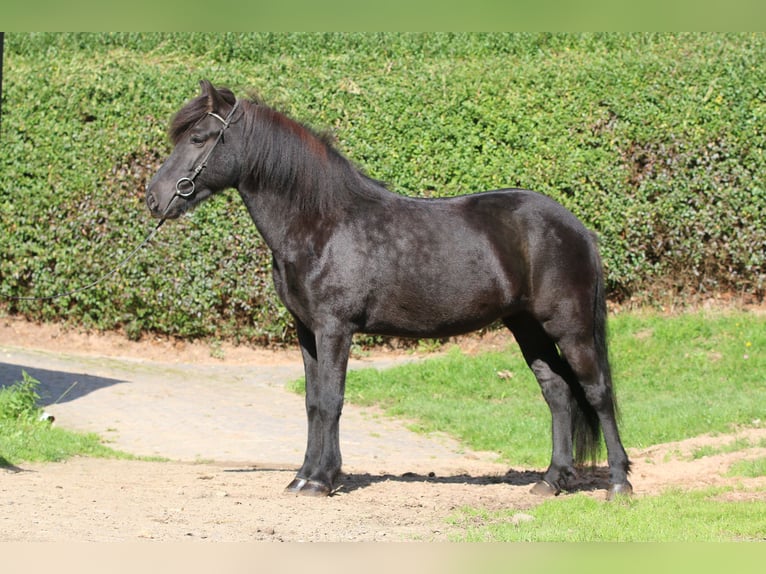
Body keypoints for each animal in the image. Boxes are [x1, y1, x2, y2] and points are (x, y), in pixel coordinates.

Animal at [146, 80, 632, 500]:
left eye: (199, 137)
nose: (154, 198)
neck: (321, 223)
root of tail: (577, 228)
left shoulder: (335, 329)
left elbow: (331, 400)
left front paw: (322, 480)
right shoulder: (307, 331)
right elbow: (312, 402)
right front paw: (303, 476)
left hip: (570, 327)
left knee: (597, 393)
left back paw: (618, 484)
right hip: (527, 327)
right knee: (558, 392)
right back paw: (552, 480)